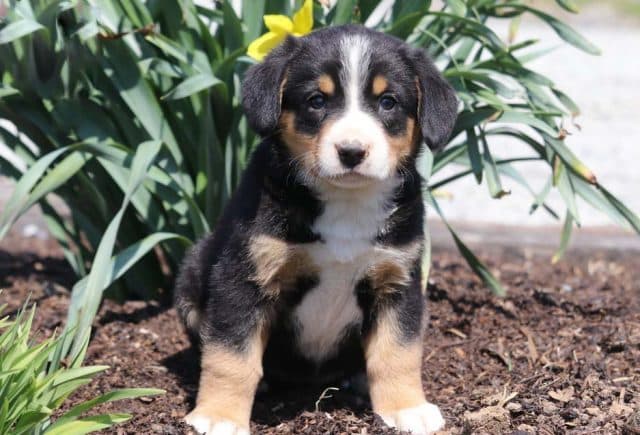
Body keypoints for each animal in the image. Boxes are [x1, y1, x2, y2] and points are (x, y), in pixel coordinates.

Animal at [172, 24, 458, 435]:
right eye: (316, 101)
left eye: (388, 102)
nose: (351, 151)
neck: (346, 204)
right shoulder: (243, 277)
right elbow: (231, 354)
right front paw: (219, 415)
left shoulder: (397, 280)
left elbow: (398, 352)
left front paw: (406, 408)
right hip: (192, 274)